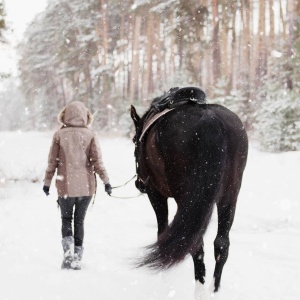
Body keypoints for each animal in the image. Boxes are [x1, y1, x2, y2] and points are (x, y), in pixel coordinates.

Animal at [131, 87, 248, 298]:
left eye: (134, 140)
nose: (139, 184)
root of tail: (211, 121)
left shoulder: (156, 194)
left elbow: (162, 231)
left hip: (186, 199)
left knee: (195, 244)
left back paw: (199, 291)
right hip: (229, 195)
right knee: (221, 244)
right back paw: (214, 290)